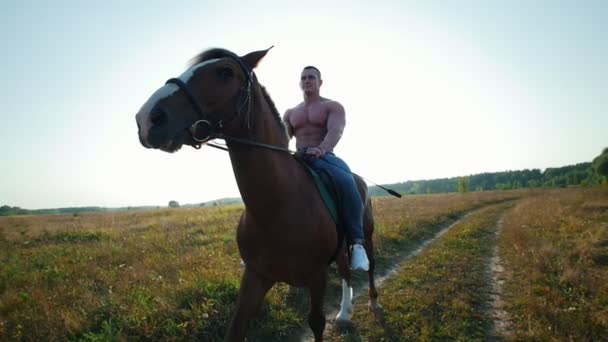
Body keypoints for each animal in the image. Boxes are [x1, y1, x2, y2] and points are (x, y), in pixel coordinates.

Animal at [135, 46, 378, 340]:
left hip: (366, 235)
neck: (278, 204)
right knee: (344, 270)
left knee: (368, 267)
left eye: (225, 72)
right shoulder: (256, 276)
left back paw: (372, 303)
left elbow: (317, 323)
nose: (147, 118)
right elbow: (236, 328)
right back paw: (343, 313)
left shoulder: (317, 277)